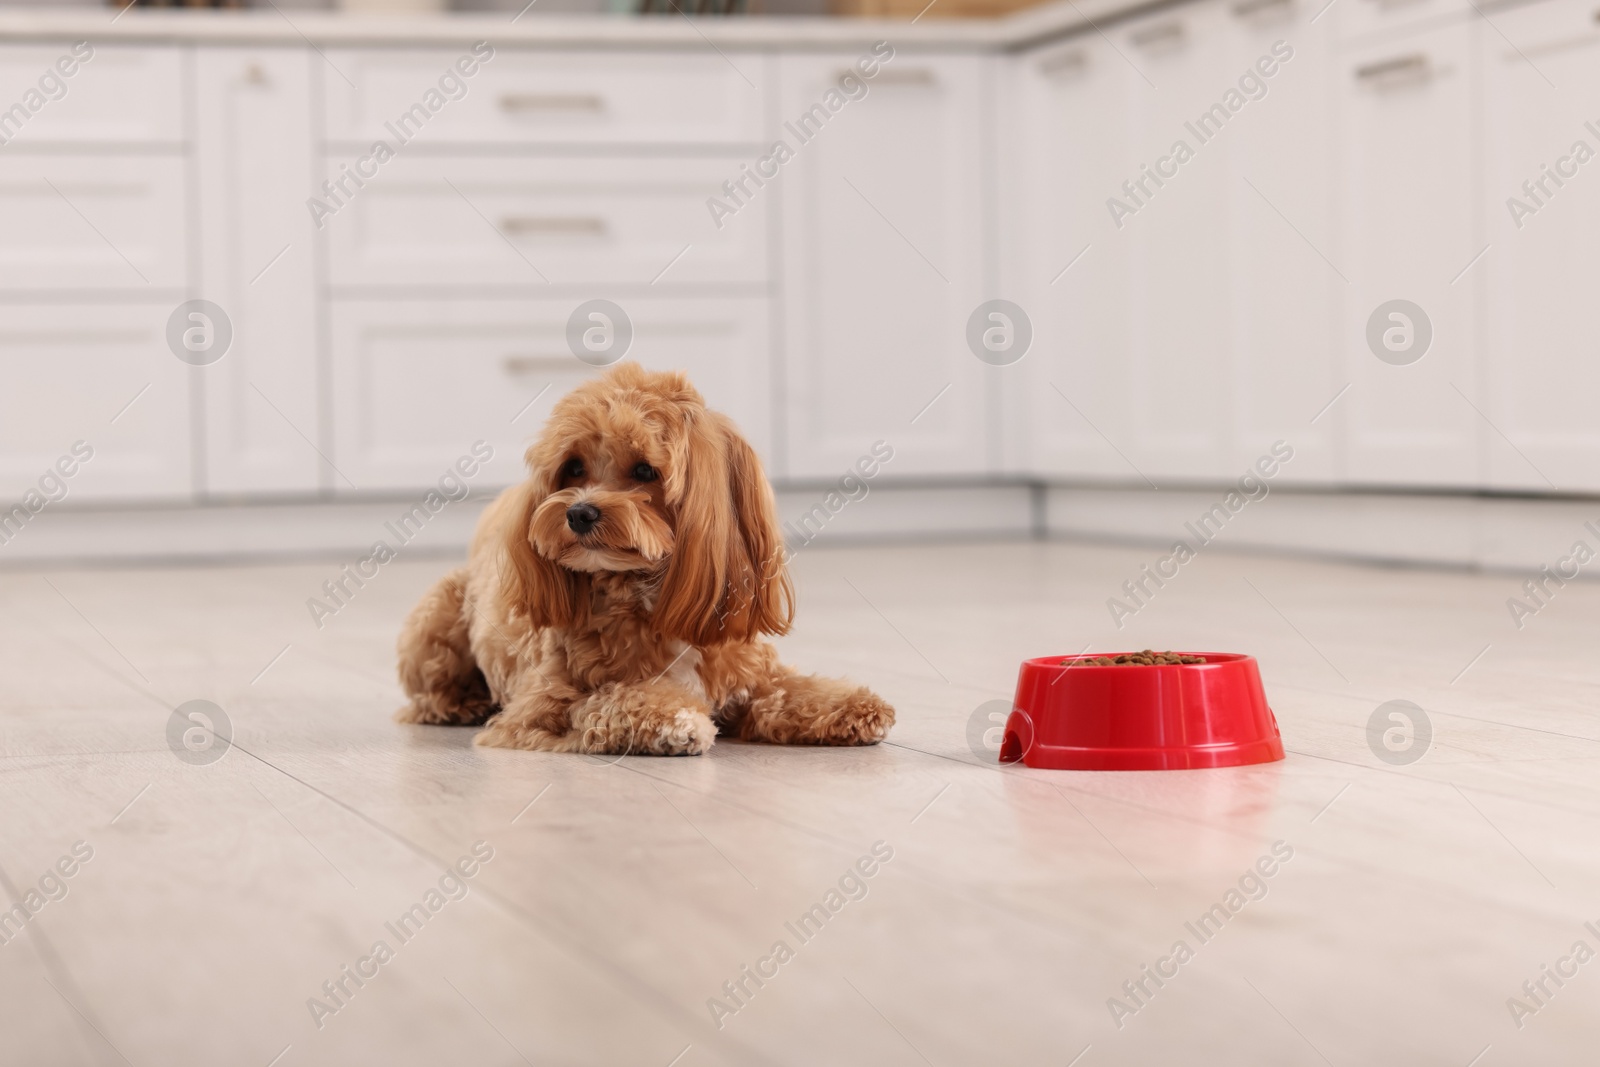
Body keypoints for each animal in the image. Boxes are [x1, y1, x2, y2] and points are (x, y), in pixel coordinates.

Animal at [393, 363, 896, 755]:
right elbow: (607, 701)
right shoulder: (538, 710)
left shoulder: (749, 673)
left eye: (644, 470)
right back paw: (463, 703)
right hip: (436, 621)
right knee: (429, 694)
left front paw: (850, 704)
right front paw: (674, 720)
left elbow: (787, 691)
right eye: (573, 466)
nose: (578, 512)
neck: (646, 596)